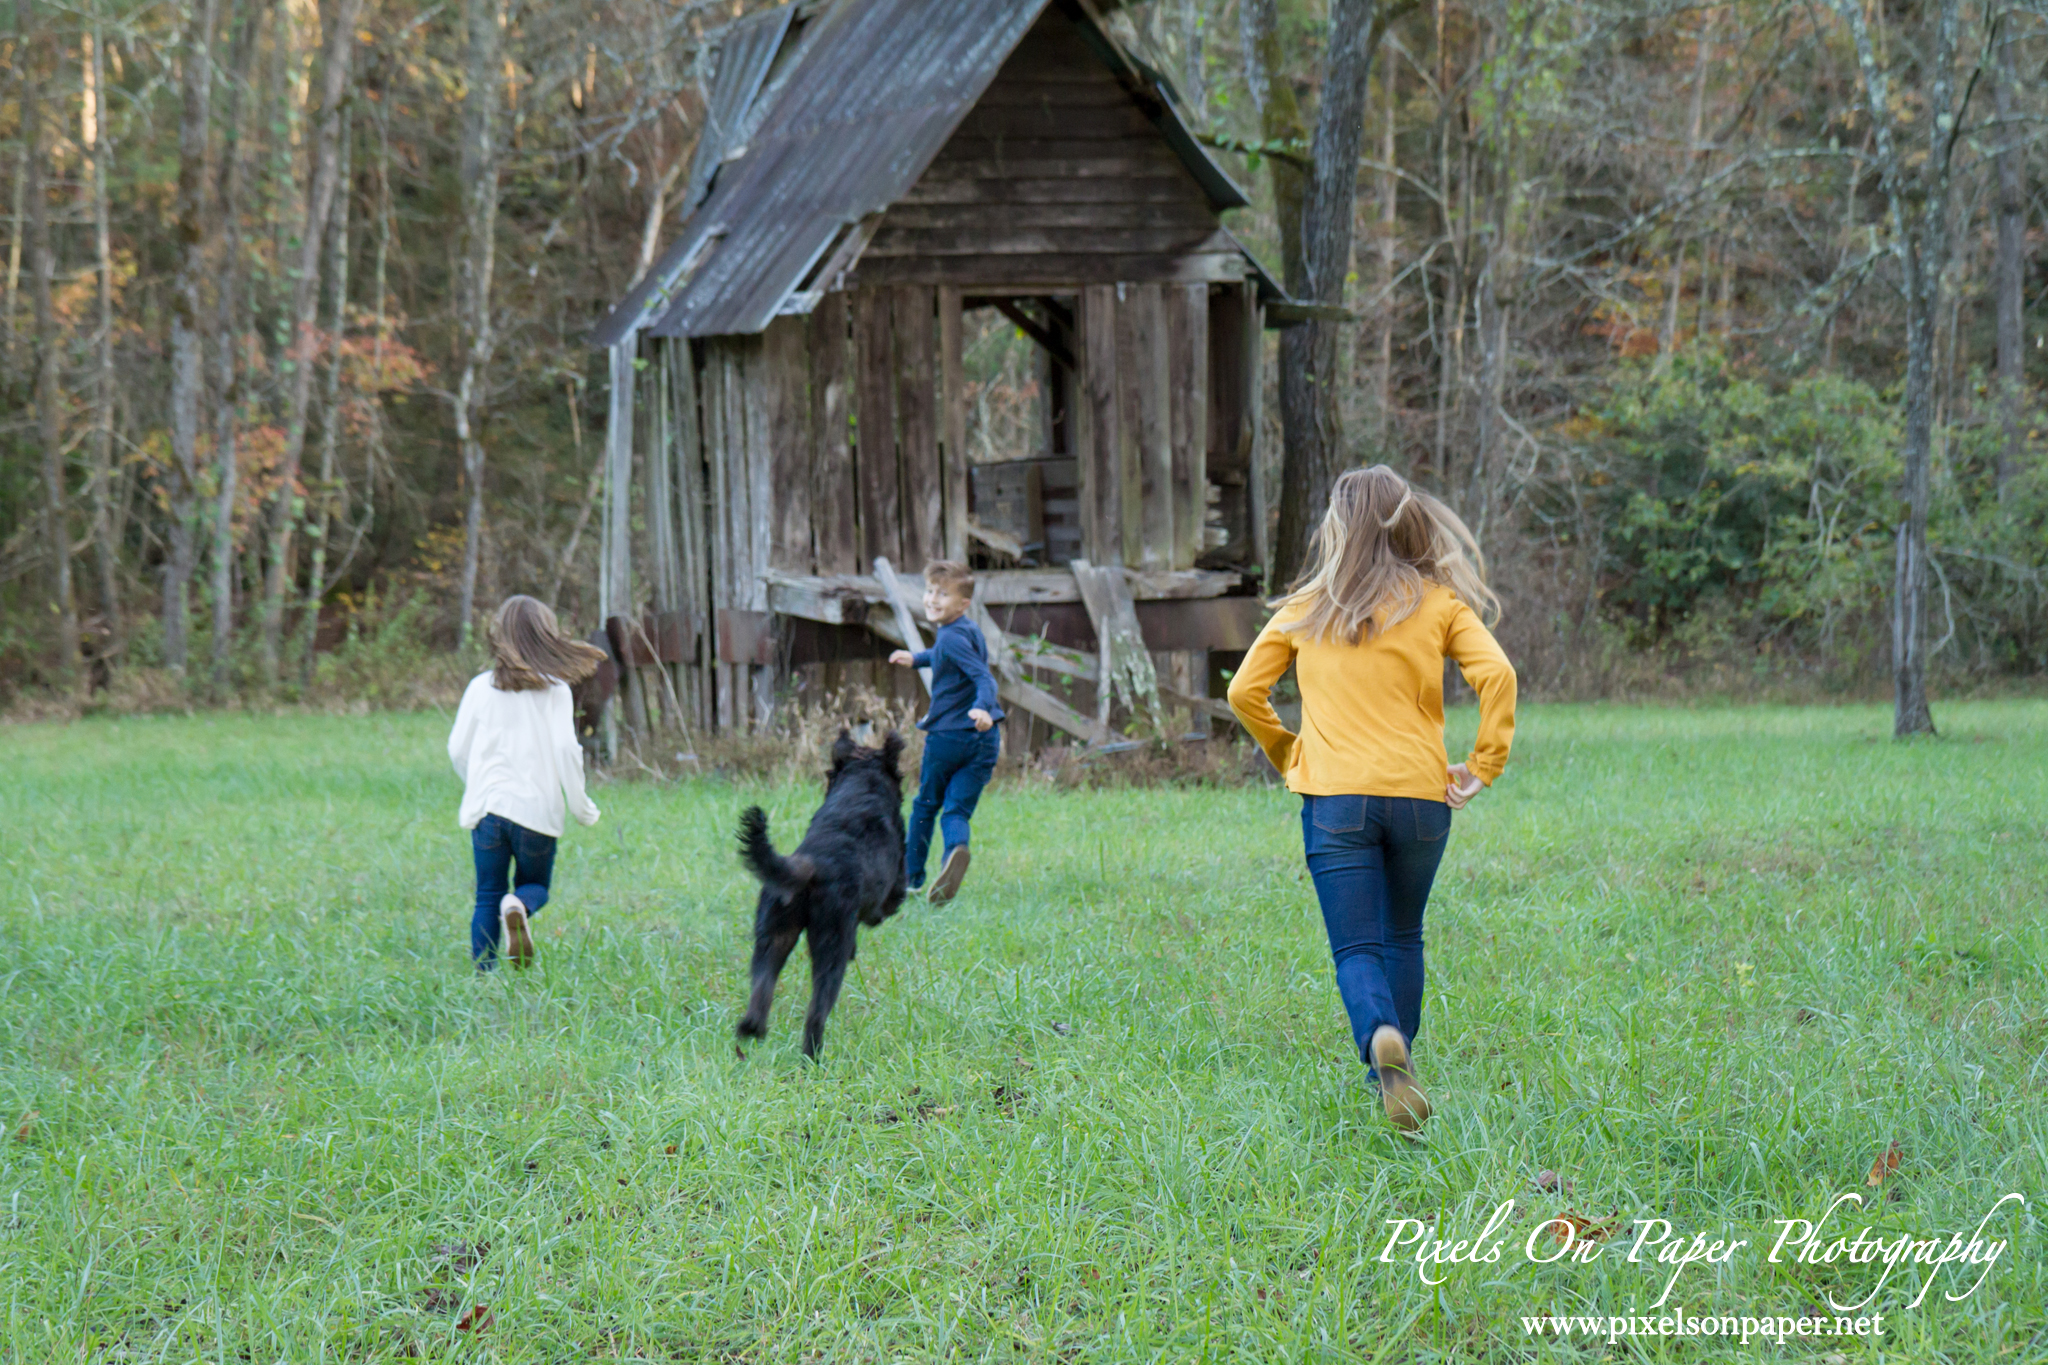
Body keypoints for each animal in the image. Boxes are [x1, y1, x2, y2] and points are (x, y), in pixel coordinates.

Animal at [733, 732, 901, 1064]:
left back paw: (752, 1029)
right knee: (816, 1012)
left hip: (774, 934)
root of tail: (813, 864)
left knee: (762, 988)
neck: (862, 784)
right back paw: (813, 1058)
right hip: (830, 947)